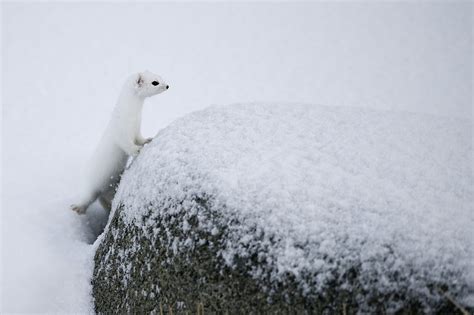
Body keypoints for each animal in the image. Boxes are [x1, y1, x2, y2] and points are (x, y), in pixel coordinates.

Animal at [71, 71, 169, 215]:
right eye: (155, 82)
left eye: (160, 77)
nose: (168, 85)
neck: (133, 118)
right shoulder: (122, 133)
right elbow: (127, 145)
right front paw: (138, 150)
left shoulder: (137, 130)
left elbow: (140, 138)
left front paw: (148, 140)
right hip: (91, 185)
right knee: (87, 198)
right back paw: (77, 208)